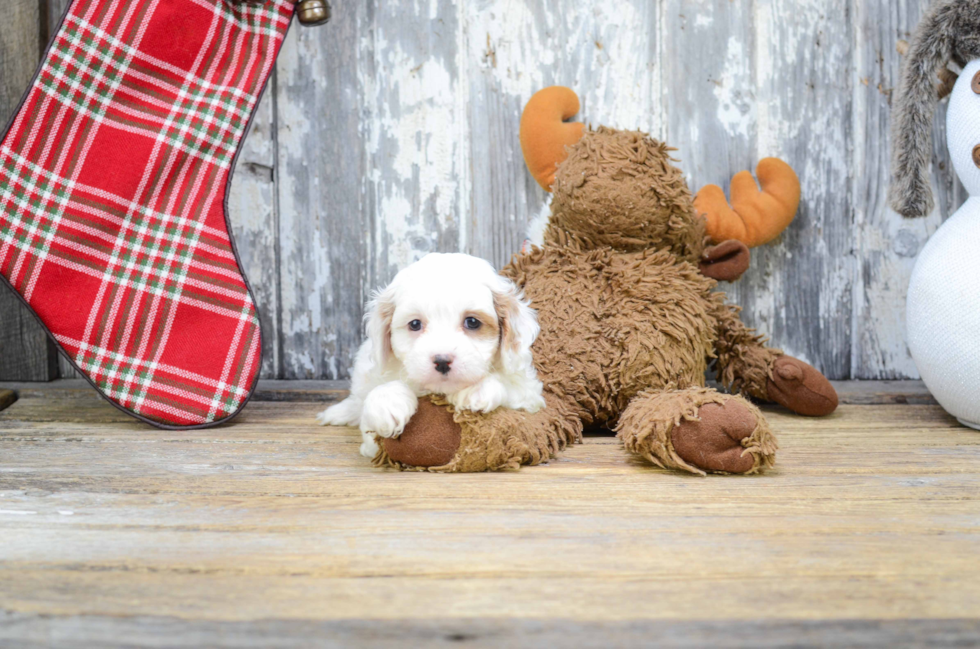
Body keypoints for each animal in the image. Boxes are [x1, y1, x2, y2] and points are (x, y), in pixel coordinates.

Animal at [316, 251, 544, 458]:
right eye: (415, 324)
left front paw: (477, 388)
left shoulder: (530, 395)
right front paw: (388, 403)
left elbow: (511, 386)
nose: (442, 361)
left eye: (472, 322)